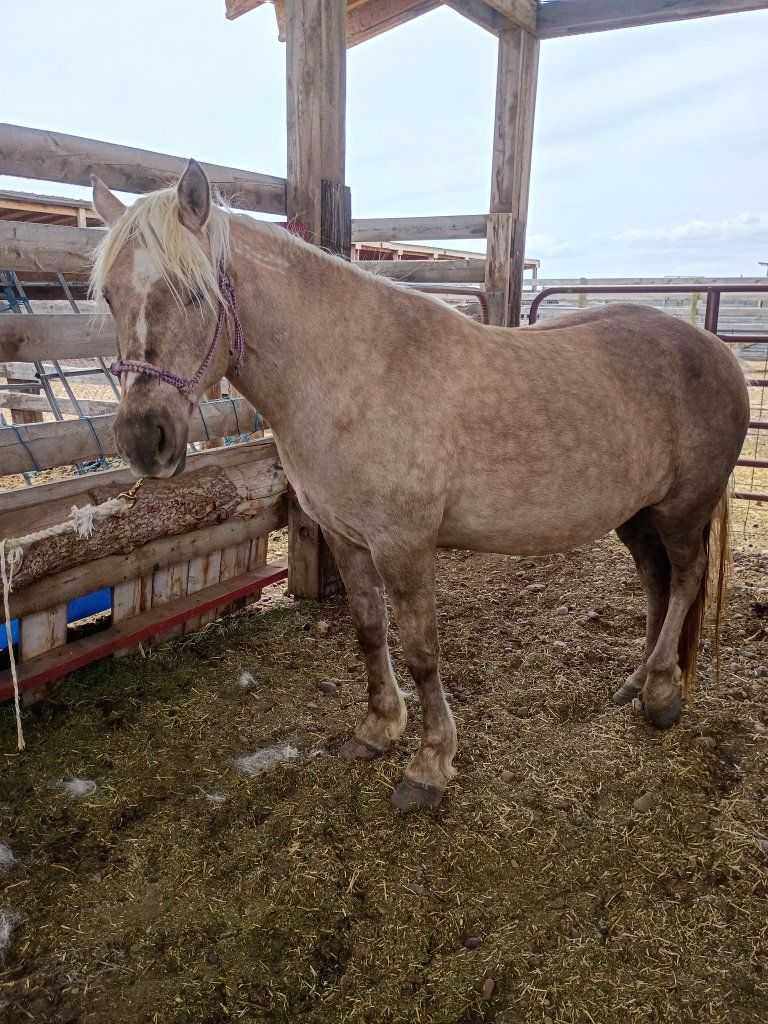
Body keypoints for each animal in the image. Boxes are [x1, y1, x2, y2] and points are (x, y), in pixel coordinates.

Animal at [90, 160, 750, 812]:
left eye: (193, 292)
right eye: (109, 295)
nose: (143, 439)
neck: (352, 374)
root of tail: (719, 352)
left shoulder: (404, 545)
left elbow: (422, 650)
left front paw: (430, 765)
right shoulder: (346, 537)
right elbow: (368, 630)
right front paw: (378, 729)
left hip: (684, 511)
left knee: (685, 580)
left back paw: (662, 694)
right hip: (638, 516)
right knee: (657, 584)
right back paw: (637, 682)